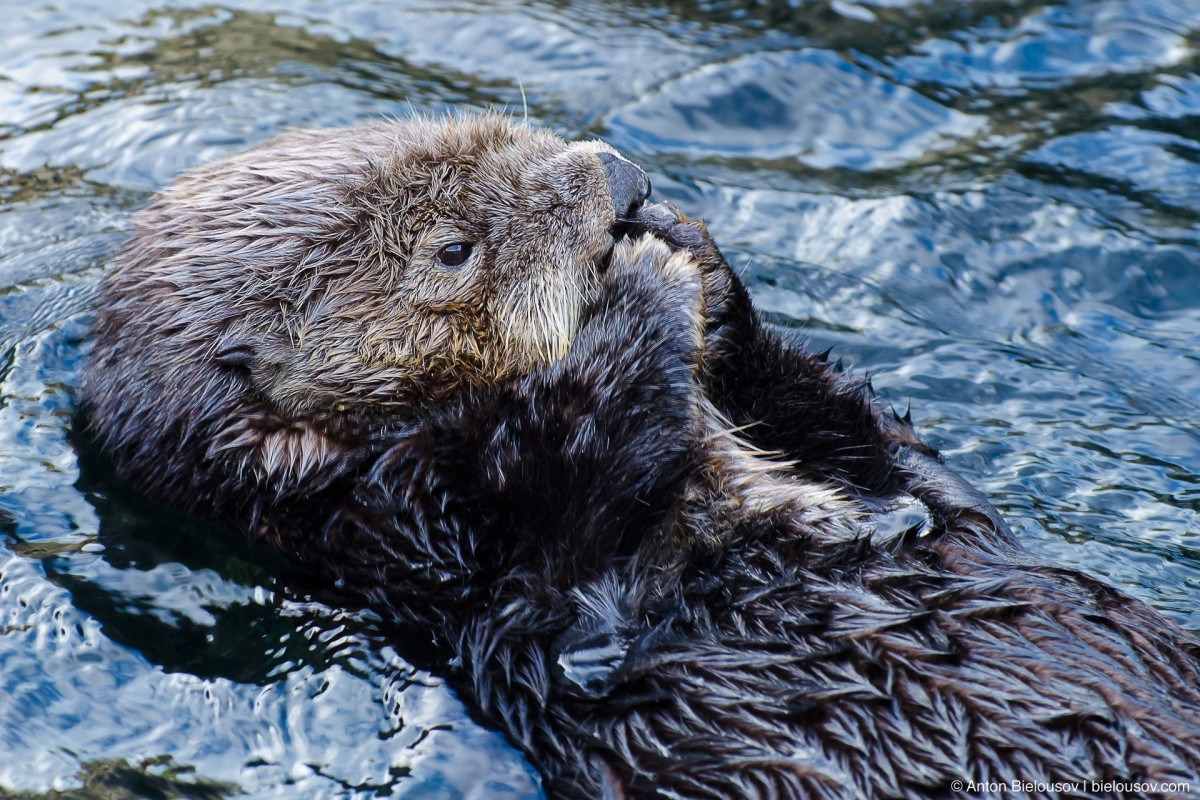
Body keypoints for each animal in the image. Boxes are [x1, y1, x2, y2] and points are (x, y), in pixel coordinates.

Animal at [84, 115, 1200, 796]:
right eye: (452, 249)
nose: (620, 177)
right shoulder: (445, 553)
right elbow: (581, 600)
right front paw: (637, 291)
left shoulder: (903, 487)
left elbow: (910, 474)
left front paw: (689, 249)